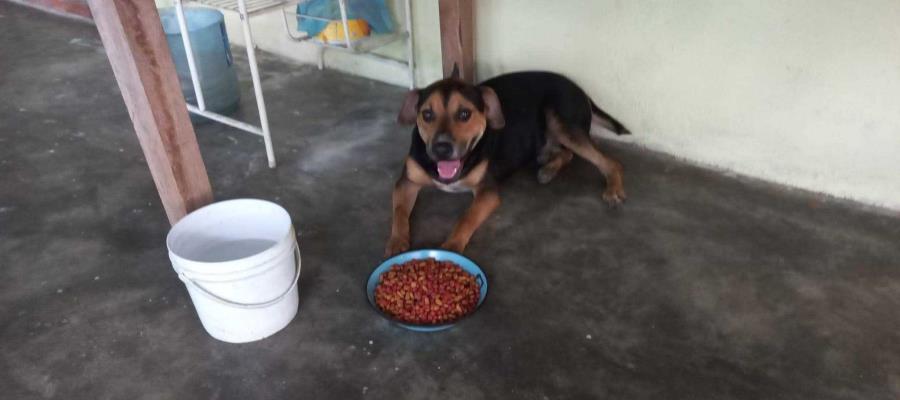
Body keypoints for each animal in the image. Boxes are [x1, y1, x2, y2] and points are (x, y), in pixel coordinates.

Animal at [384, 68, 628, 256]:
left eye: (464, 114)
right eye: (427, 115)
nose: (441, 148)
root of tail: (580, 90)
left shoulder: (487, 192)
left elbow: (466, 218)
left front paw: (452, 246)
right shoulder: (406, 183)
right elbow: (399, 212)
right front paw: (396, 243)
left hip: (561, 122)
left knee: (610, 161)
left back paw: (612, 188)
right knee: (567, 153)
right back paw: (548, 168)